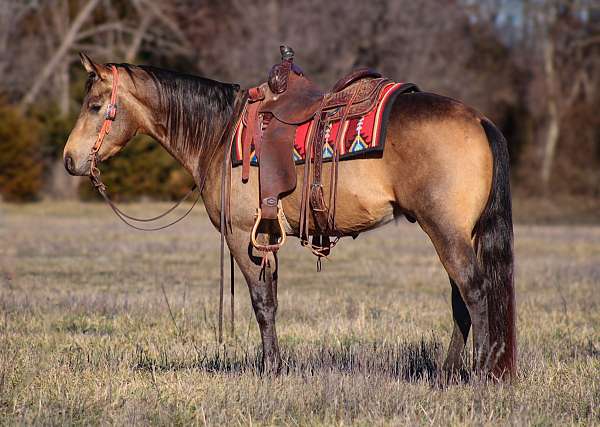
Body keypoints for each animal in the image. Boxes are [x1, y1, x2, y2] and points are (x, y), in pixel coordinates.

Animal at [64, 51, 516, 380]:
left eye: (95, 105)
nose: (70, 160)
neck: (219, 133)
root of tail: (480, 120)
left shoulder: (242, 234)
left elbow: (262, 302)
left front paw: (271, 370)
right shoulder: (265, 236)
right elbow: (272, 298)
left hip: (444, 230)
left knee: (474, 290)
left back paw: (479, 372)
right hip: (458, 232)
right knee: (461, 299)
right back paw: (448, 371)